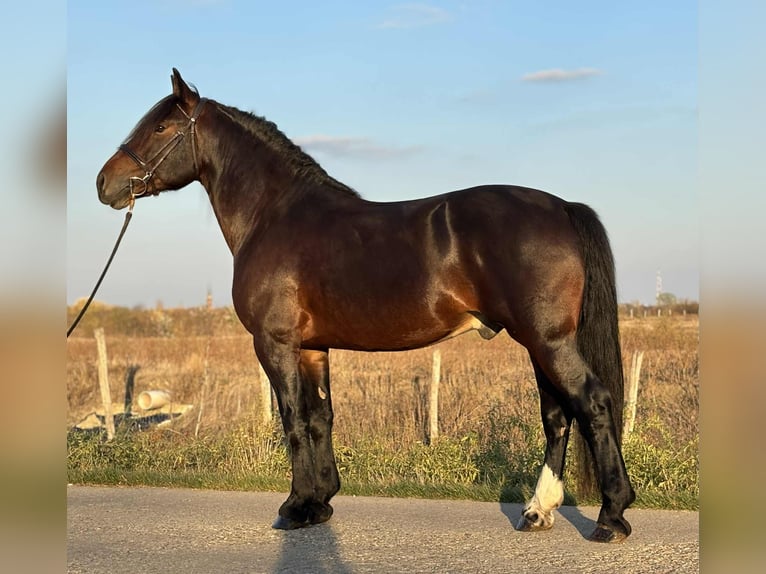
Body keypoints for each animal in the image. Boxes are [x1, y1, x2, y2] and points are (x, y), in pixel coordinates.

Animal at [96, 69, 635, 543]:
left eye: (160, 127)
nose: (105, 184)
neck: (274, 216)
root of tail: (562, 206)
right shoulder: (312, 348)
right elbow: (320, 418)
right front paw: (320, 503)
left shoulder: (275, 343)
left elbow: (293, 420)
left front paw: (293, 507)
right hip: (540, 344)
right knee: (558, 415)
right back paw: (538, 510)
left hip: (547, 341)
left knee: (593, 403)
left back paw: (611, 516)